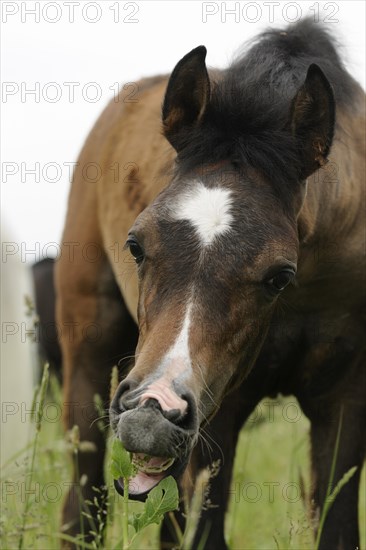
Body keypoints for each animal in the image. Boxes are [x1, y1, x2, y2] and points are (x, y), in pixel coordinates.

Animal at [55, 18, 364, 550]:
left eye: (279, 275)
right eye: (135, 245)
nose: (151, 412)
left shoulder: (343, 403)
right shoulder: (218, 411)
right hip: (89, 355)